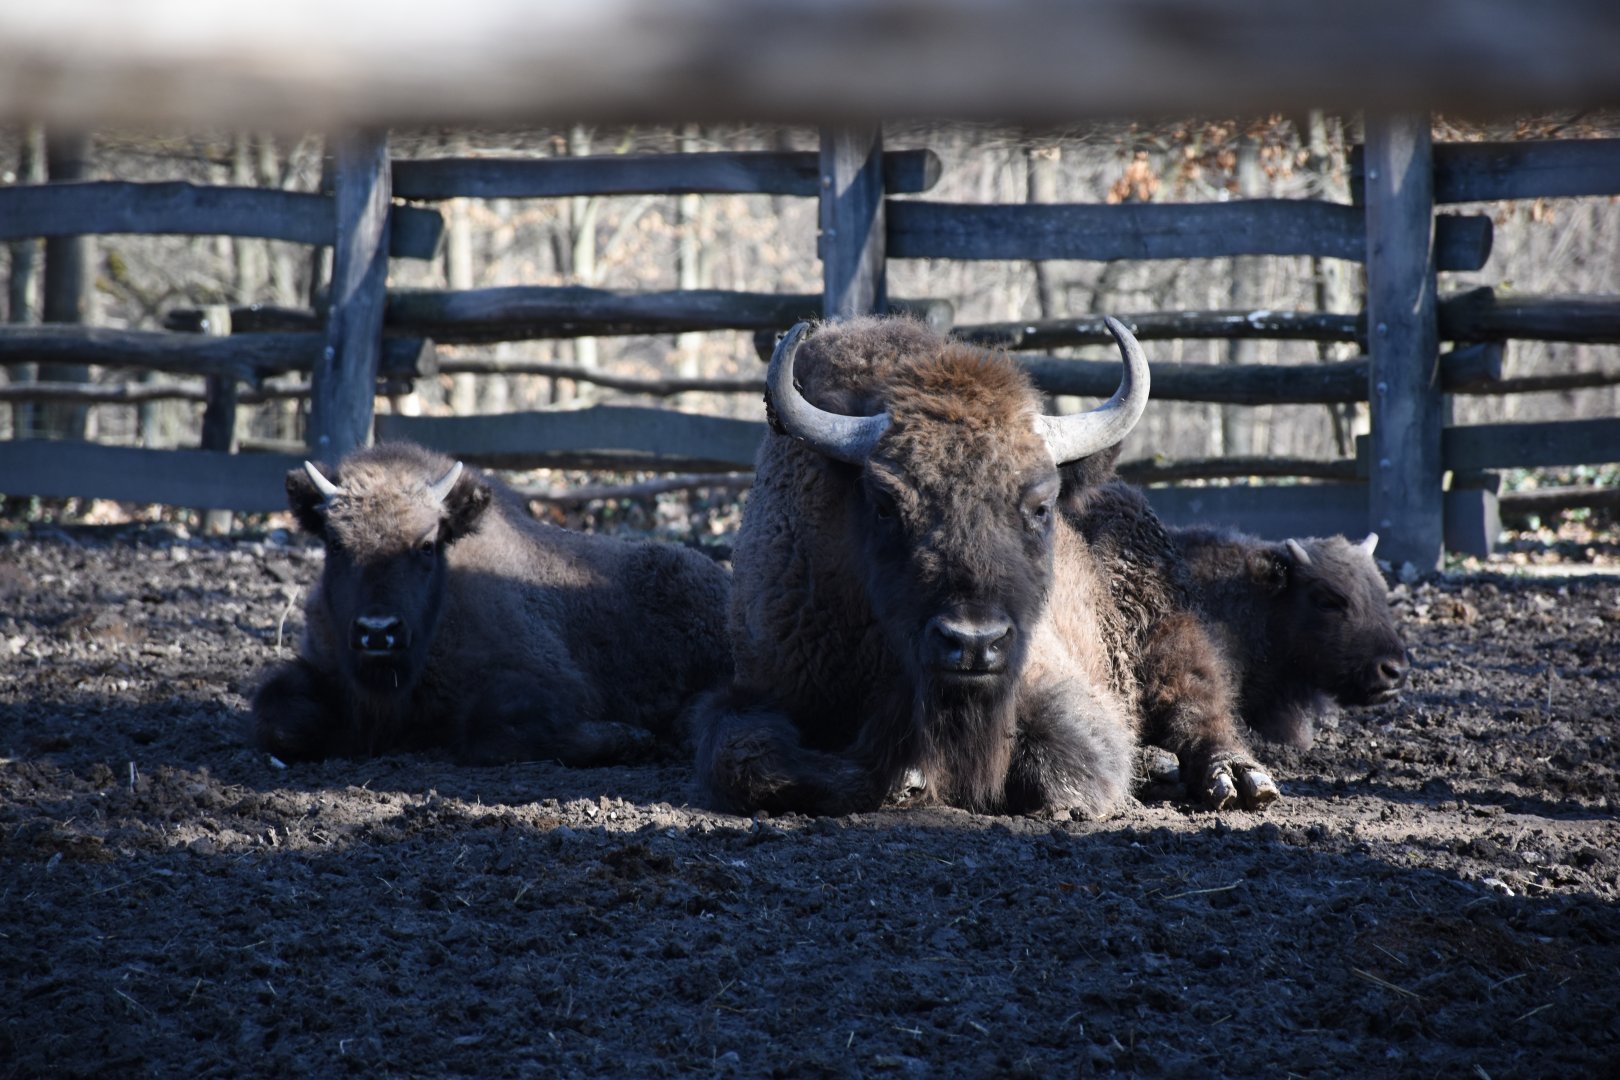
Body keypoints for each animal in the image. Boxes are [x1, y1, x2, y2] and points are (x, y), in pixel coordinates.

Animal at [252, 441, 732, 765]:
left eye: (427, 545)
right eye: (335, 543)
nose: (377, 631)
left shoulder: (550, 680)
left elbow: (490, 728)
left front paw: (629, 737)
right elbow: (277, 718)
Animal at [694, 316, 1276, 817]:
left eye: (1041, 505)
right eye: (885, 502)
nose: (973, 642)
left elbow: (1065, 759)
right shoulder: (761, 688)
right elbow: (749, 759)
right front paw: (902, 779)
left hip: (1167, 638)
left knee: (1200, 703)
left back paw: (1237, 779)